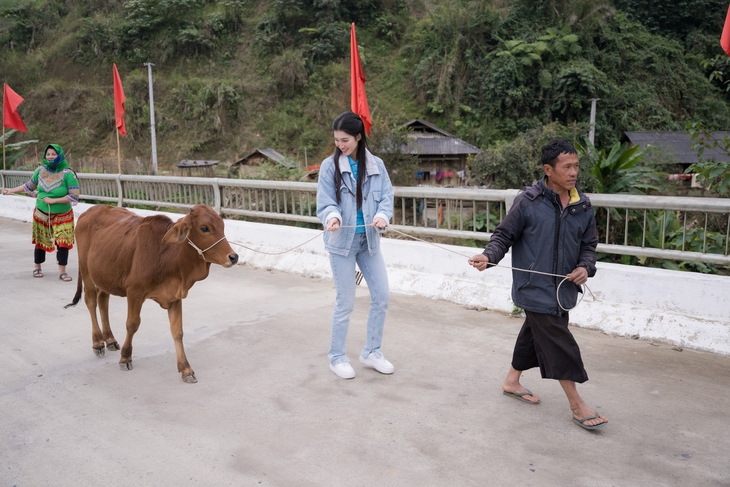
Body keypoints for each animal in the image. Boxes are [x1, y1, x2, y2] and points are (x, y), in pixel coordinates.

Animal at [64, 204, 237, 384]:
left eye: (222, 226)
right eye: (204, 228)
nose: (233, 257)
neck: (166, 254)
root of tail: (89, 211)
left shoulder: (174, 296)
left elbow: (177, 331)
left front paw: (186, 369)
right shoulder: (134, 292)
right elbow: (132, 325)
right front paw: (125, 357)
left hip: (105, 275)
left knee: (103, 300)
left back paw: (110, 340)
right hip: (86, 272)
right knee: (91, 301)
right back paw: (98, 342)